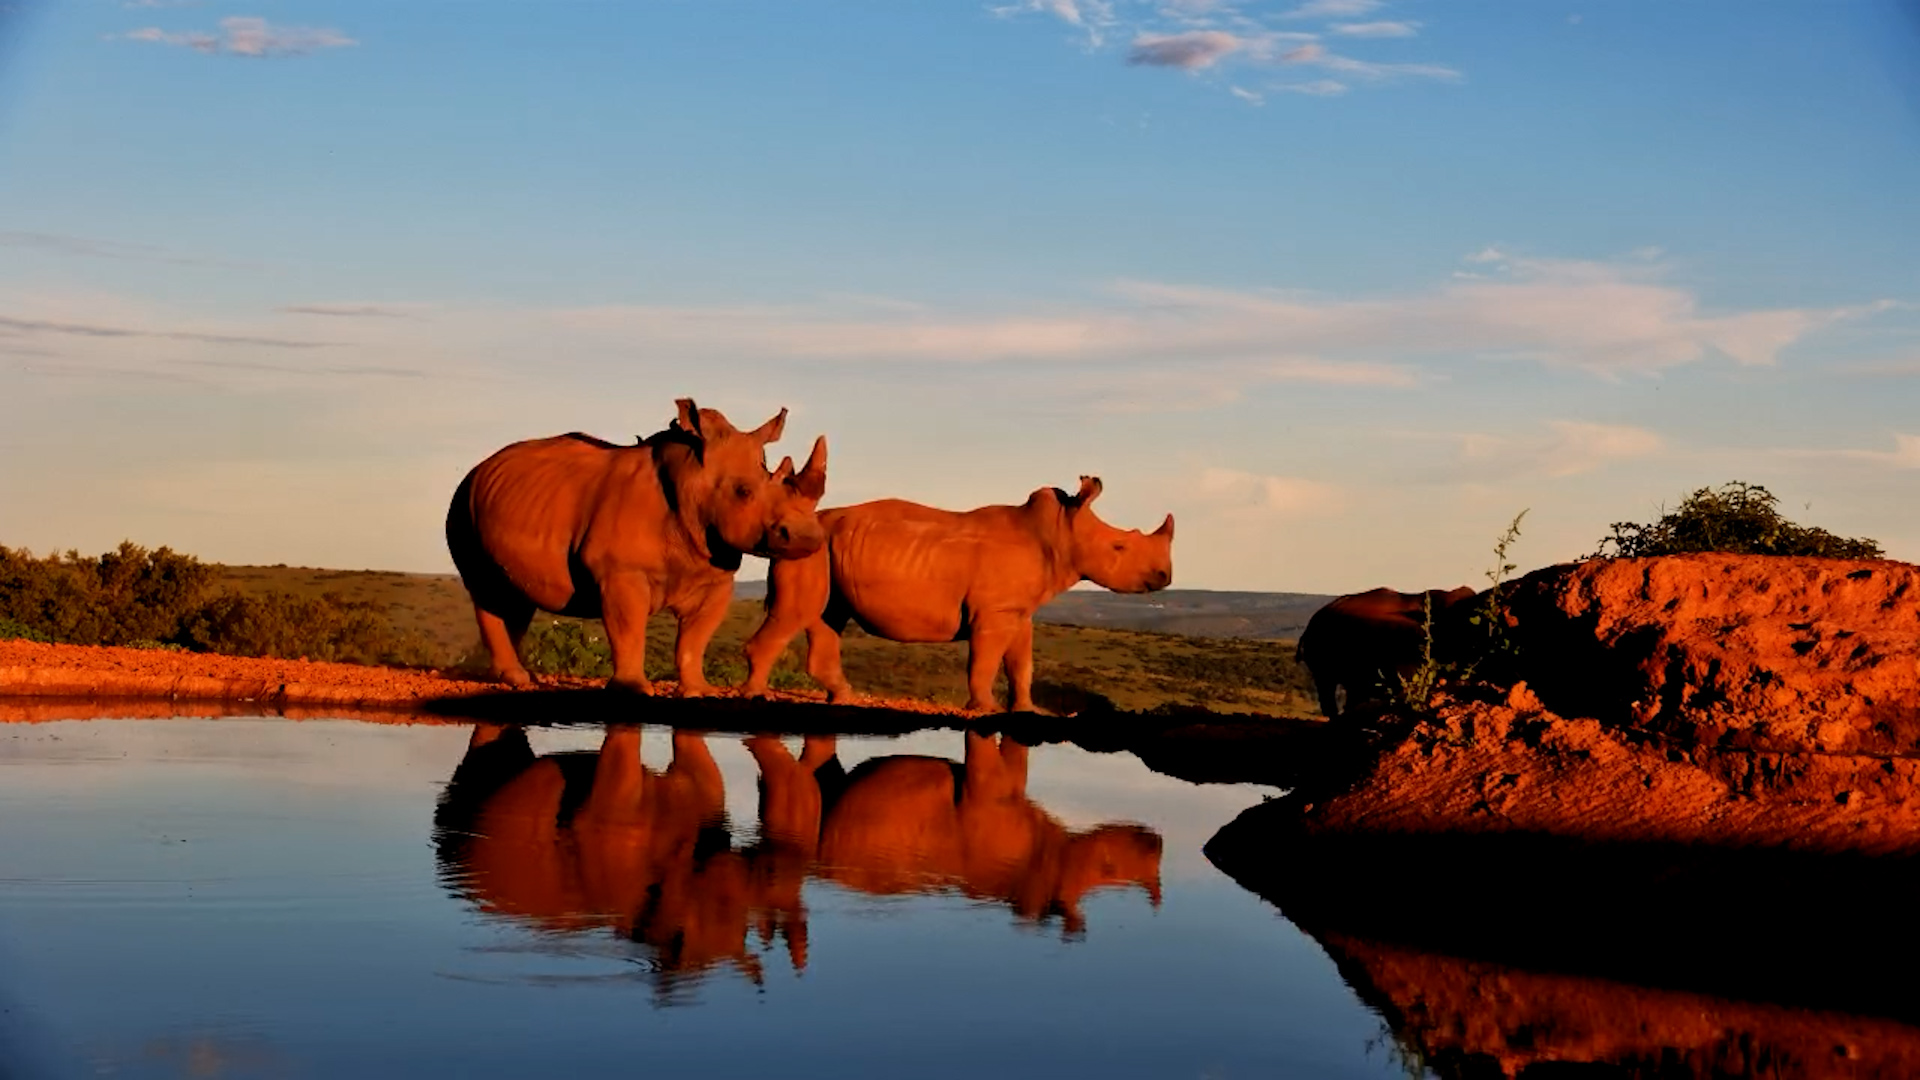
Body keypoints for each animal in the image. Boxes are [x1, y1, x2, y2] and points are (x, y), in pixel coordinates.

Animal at [446, 399, 828, 694]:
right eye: (743, 492)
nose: (808, 536)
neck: (691, 482)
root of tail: (481, 466)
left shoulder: (714, 574)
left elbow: (695, 638)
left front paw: (698, 690)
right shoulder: (621, 571)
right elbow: (628, 630)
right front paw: (633, 688)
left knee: (516, 595)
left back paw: (525, 678)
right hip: (462, 503)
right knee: (487, 589)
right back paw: (516, 678)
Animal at [740, 476, 1174, 713]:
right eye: (1119, 547)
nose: (1165, 576)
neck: (1058, 533)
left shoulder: (1017, 611)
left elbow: (1022, 663)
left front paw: (1026, 709)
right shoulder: (994, 613)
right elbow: (984, 661)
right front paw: (984, 708)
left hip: (822, 548)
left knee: (827, 616)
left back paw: (845, 698)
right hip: (806, 549)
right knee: (795, 613)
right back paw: (756, 695)